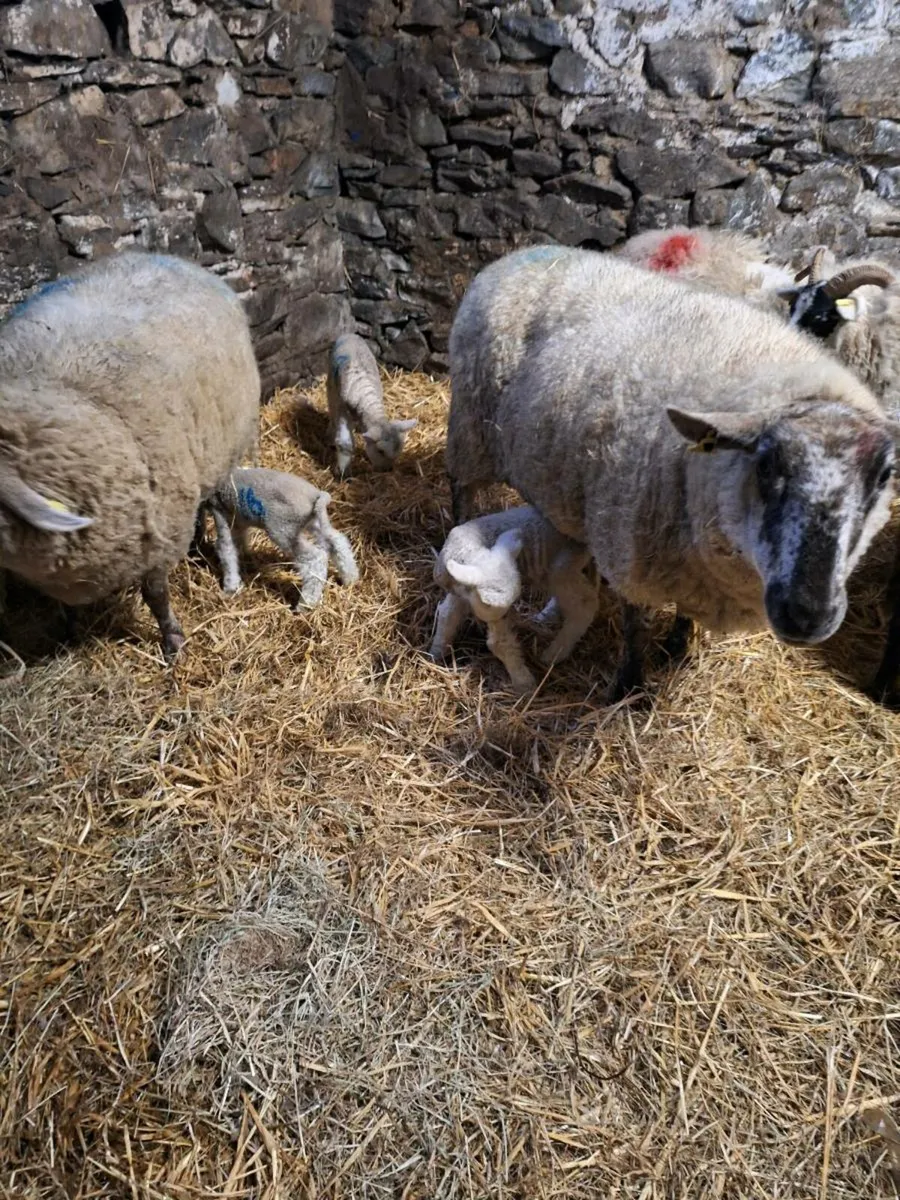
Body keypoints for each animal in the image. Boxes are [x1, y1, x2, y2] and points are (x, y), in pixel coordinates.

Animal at [0, 252, 260, 660]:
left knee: (205, 502)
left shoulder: (158, 533)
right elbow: (64, 607)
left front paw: (172, 642)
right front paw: (67, 634)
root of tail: (169, 257)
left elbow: (156, 595)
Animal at [203, 467, 358, 609]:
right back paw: (350, 578)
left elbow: (226, 550)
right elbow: (238, 542)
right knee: (337, 541)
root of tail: (315, 495)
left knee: (315, 559)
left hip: (283, 530)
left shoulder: (220, 512)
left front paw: (230, 588)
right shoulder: (238, 520)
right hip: (313, 522)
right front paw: (246, 560)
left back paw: (305, 605)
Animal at [326, 333, 417, 477]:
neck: (363, 391)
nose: (387, 470)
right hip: (331, 385)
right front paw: (343, 472)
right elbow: (345, 442)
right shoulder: (341, 406)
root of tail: (350, 334)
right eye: (380, 451)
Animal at [429, 506, 597, 693]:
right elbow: (447, 615)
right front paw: (436, 652)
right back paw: (547, 616)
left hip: (562, 568)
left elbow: (498, 643)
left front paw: (525, 683)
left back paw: (555, 653)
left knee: (586, 605)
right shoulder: (459, 592)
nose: (511, 618)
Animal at [447, 246, 897, 700]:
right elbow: (635, 623)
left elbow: (685, 611)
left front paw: (677, 646)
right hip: (470, 428)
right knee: (460, 491)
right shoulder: (629, 543)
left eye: (884, 476)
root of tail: (515, 255)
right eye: (767, 463)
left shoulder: (693, 560)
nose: (807, 615)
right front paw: (628, 686)